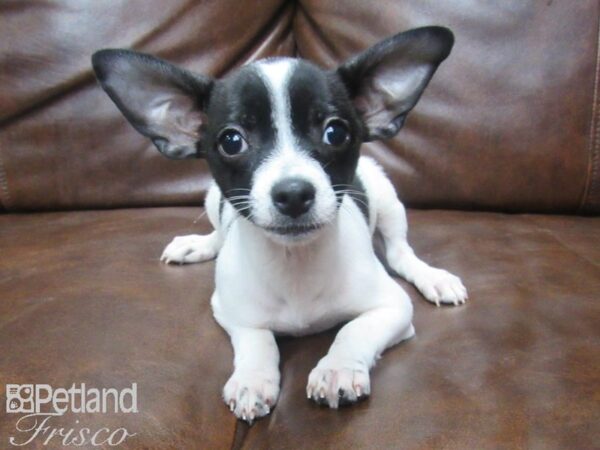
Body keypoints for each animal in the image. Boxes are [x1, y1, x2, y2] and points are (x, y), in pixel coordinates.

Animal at [91, 25, 466, 426]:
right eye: (231, 140)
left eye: (335, 132)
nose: (294, 193)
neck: (294, 261)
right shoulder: (231, 311)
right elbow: (258, 339)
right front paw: (253, 378)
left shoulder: (392, 308)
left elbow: (353, 329)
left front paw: (337, 368)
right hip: (211, 199)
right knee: (218, 235)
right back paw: (197, 244)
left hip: (387, 198)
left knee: (399, 253)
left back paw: (433, 277)